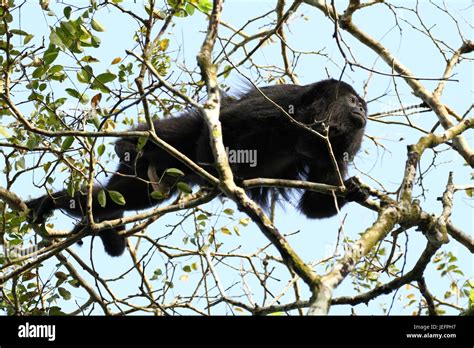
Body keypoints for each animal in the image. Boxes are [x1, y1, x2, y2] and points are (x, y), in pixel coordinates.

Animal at [26, 79, 366, 258]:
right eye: (352, 100)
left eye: (361, 104)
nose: (363, 109)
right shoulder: (281, 101)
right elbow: (221, 125)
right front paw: (225, 178)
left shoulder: (331, 151)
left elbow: (313, 204)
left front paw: (352, 189)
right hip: (165, 141)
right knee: (175, 135)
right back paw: (126, 147)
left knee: (130, 196)